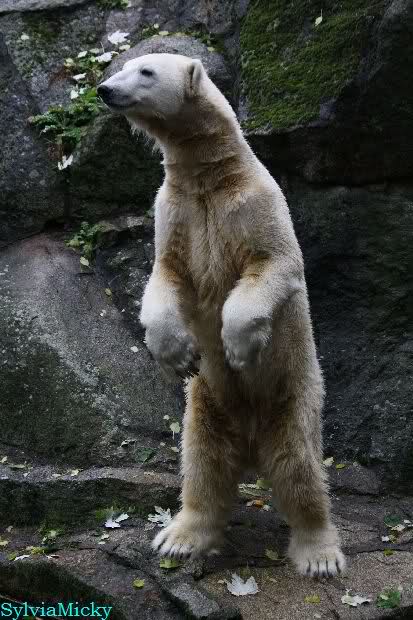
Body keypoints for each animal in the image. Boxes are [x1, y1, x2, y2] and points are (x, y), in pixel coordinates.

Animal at [98, 53, 345, 578]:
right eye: (123, 65)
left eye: (145, 70)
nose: (105, 89)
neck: (209, 177)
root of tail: (252, 448)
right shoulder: (175, 209)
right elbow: (165, 274)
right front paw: (177, 355)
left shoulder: (255, 202)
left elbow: (275, 262)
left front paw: (238, 346)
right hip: (204, 404)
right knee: (201, 466)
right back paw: (178, 537)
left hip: (294, 396)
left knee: (300, 468)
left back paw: (319, 553)